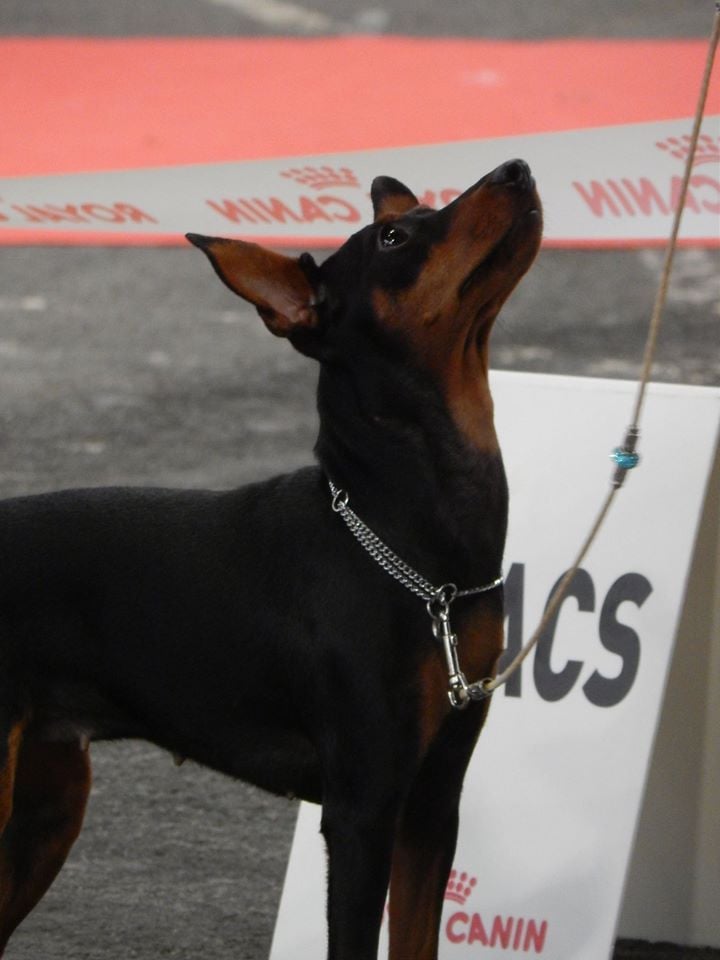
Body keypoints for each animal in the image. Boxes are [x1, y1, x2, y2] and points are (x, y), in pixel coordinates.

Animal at [0, 161, 540, 956]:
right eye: (394, 236)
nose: (516, 169)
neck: (406, 537)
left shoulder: (433, 804)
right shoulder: (362, 812)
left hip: (47, 800)